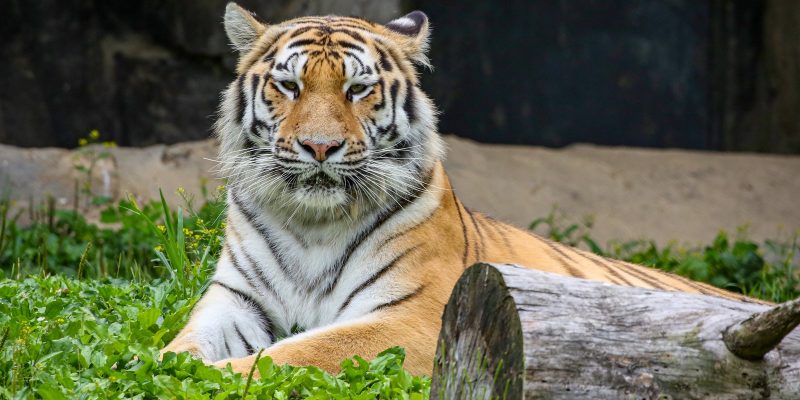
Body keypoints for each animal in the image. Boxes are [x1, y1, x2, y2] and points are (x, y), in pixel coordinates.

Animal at [161, 3, 752, 377]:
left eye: (357, 89)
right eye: (289, 85)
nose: (320, 147)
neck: (313, 222)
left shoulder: (415, 316)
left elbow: (296, 353)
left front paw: (217, 378)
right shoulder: (235, 301)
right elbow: (178, 346)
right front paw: (162, 364)